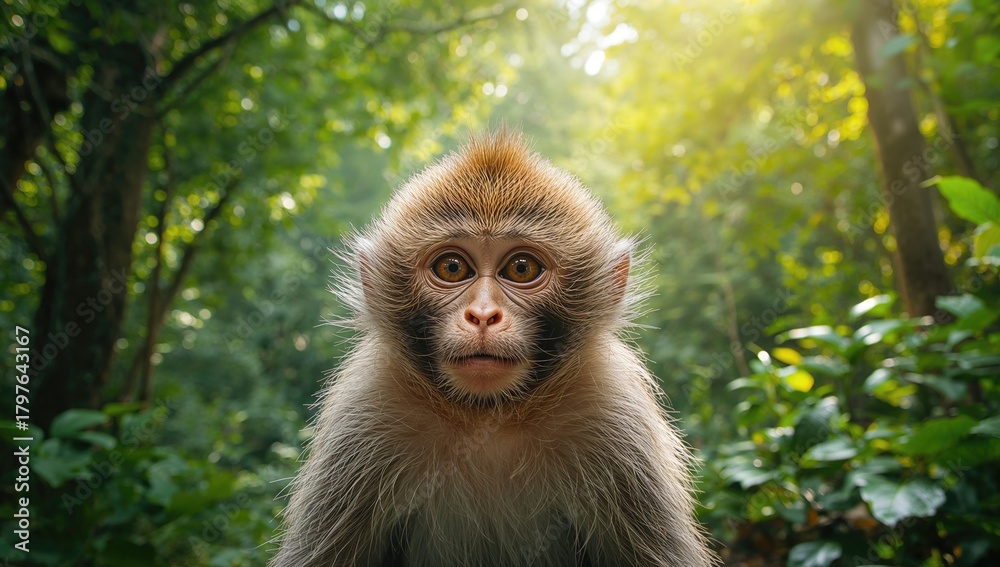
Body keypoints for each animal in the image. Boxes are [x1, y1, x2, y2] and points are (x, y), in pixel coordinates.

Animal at [269, 130, 718, 567]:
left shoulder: (617, 420)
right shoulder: (363, 416)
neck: (487, 418)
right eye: (452, 267)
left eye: (521, 268)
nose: (483, 315)